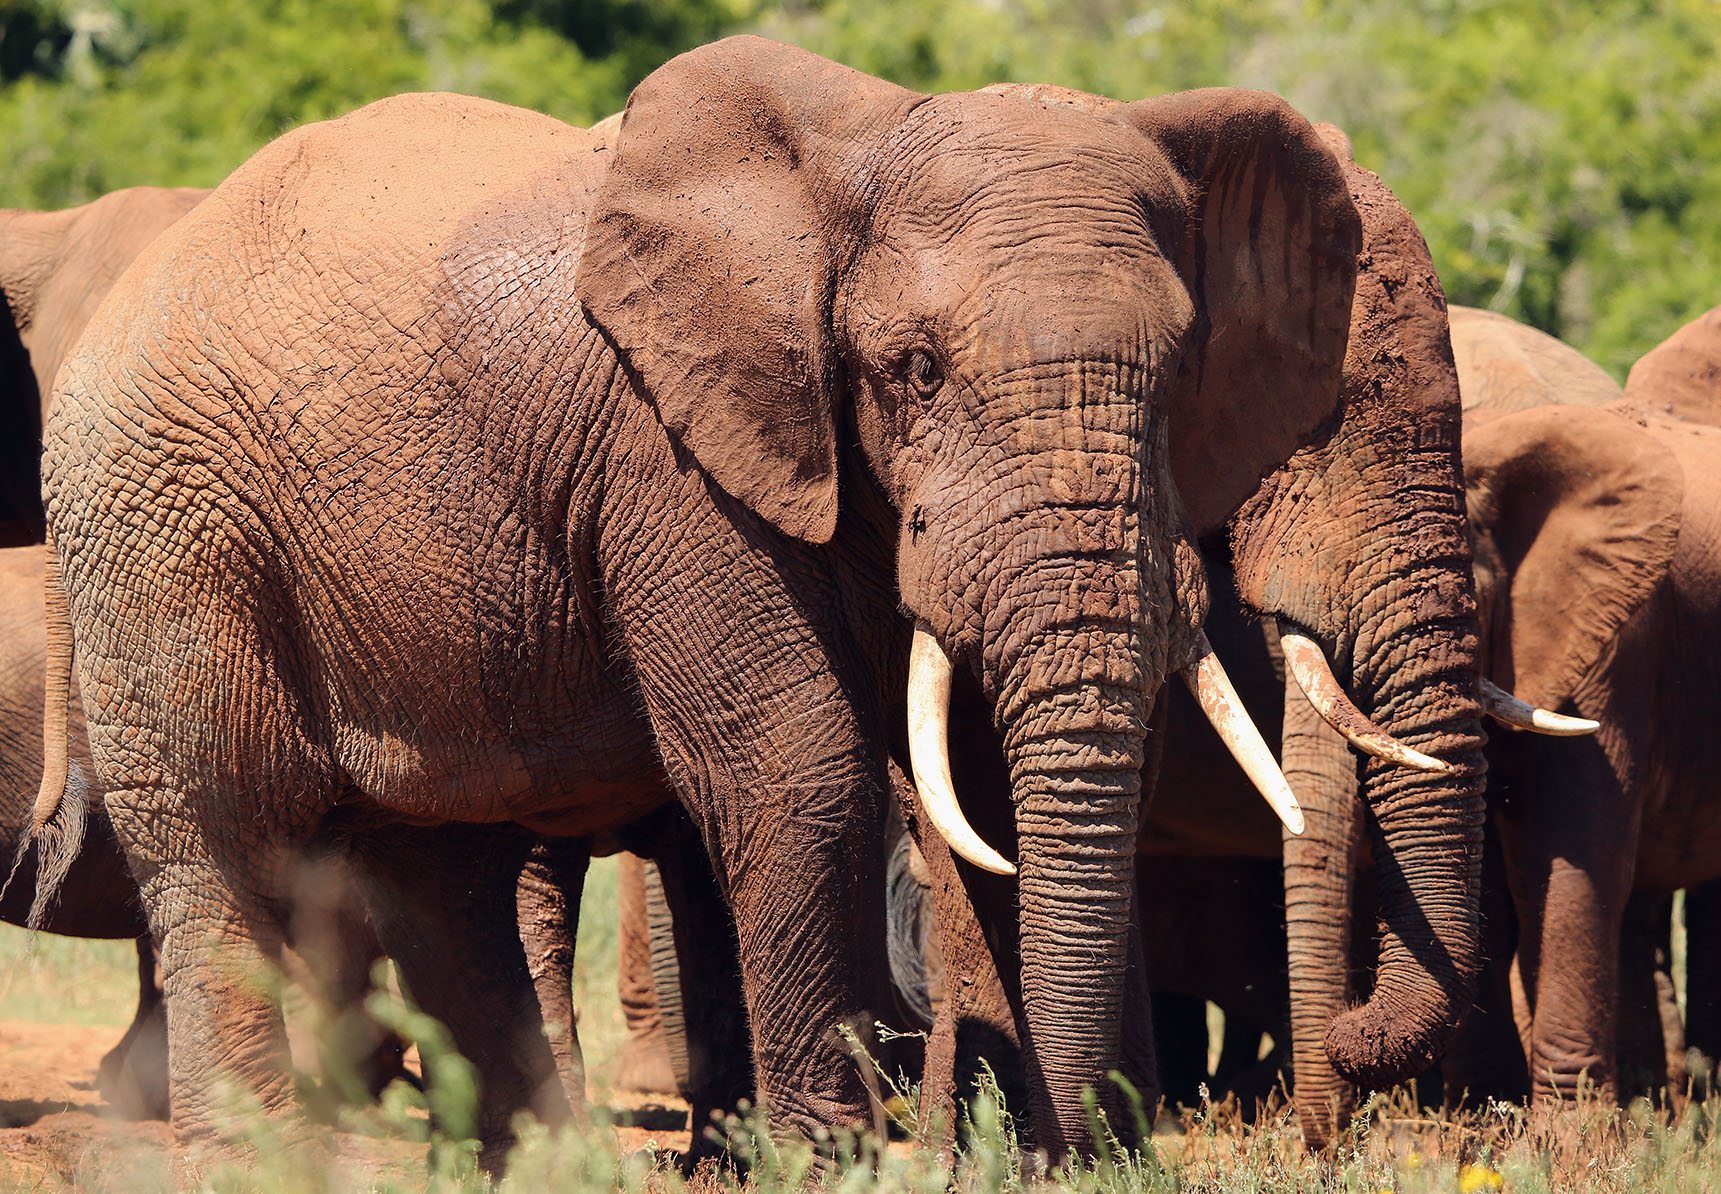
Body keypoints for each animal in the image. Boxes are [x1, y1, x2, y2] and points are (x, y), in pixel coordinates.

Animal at [31, 36, 1364, 1168]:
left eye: (1177, 371)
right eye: (915, 371)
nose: (1100, 1143)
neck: (846, 163)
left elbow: (982, 781)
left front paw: (1036, 1163)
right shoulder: (667, 460)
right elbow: (798, 764)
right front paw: (829, 1167)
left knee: (442, 864)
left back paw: (543, 1168)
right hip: (161, 526)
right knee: (222, 839)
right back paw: (247, 1159)